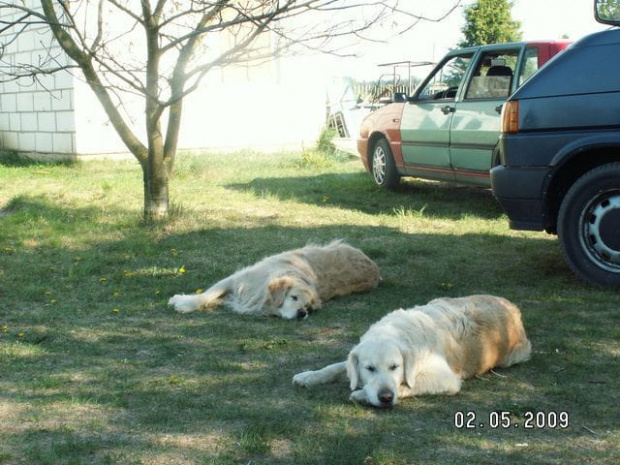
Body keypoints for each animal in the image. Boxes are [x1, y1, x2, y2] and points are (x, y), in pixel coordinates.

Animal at [167, 239, 380, 320]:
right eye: (294, 297)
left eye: (309, 307)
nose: (302, 313)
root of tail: (375, 269)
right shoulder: (236, 279)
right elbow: (207, 294)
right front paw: (183, 302)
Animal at [294, 294, 532, 406]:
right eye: (369, 368)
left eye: (395, 367)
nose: (386, 397)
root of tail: (512, 307)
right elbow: (336, 366)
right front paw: (308, 376)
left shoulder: (447, 378)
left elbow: (408, 384)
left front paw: (361, 394)